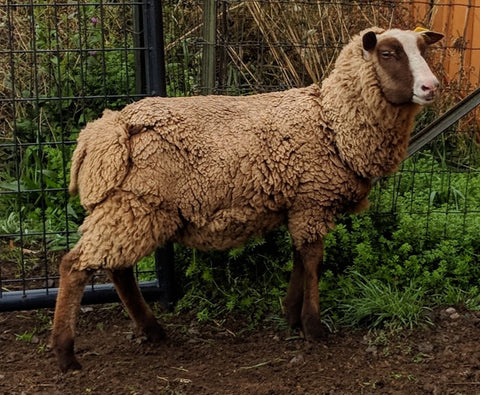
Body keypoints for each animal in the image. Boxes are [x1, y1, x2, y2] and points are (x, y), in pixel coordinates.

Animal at [51, 26, 442, 372]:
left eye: (424, 50)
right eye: (388, 53)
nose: (432, 87)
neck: (332, 123)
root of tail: (106, 131)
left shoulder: (300, 202)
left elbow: (300, 257)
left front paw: (291, 315)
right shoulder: (314, 200)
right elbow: (313, 260)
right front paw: (314, 327)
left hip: (130, 208)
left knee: (117, 268)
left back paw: (153, 330)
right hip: (138, 205)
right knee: (75, 266)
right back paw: (66, 354)